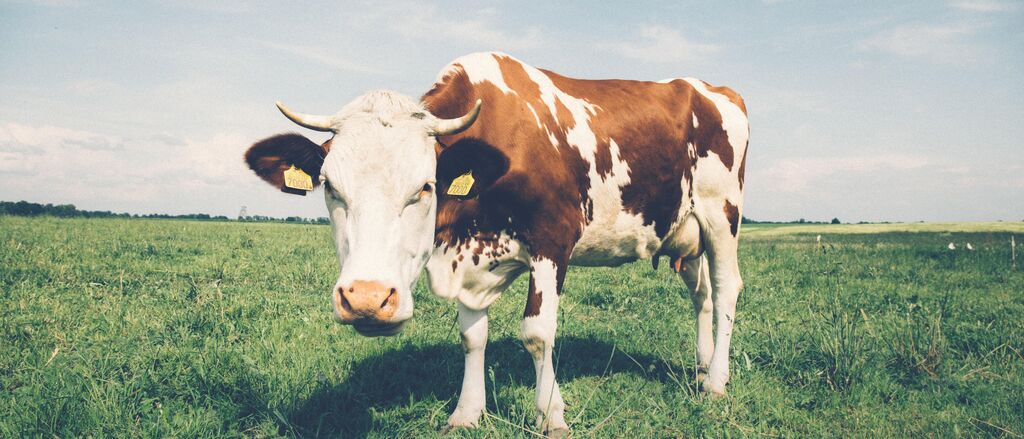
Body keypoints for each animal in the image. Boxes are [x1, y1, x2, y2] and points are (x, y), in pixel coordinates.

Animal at [243, 52, 749, 435]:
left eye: (425, 186)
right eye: (330, 187)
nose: (367, 299)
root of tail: (710, 88)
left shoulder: (552, 241)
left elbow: (538, 334)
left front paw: (551, 415)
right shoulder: (465, 261)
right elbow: (472, 336)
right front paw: (467, 412)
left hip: (722, 214)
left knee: (726, 290)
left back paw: (717, 381)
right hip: (686, 232)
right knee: (702, 295)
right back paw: (702, 367)